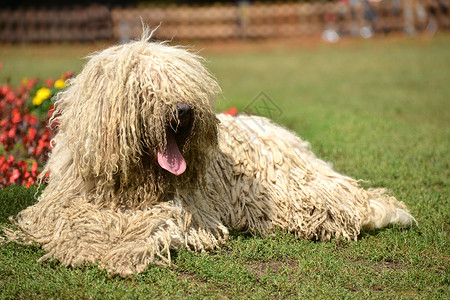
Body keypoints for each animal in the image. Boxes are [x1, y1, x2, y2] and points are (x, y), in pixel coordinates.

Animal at [3, 30, 416, 276]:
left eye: (184, 83)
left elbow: (149, 225)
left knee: (347, 203)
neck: (133, 184)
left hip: (295, 191)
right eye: (145, 88)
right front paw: (86, 242)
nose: (184, 110)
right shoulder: (65, 201)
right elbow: (71, 218)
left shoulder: (179, 208)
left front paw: (119, 249)